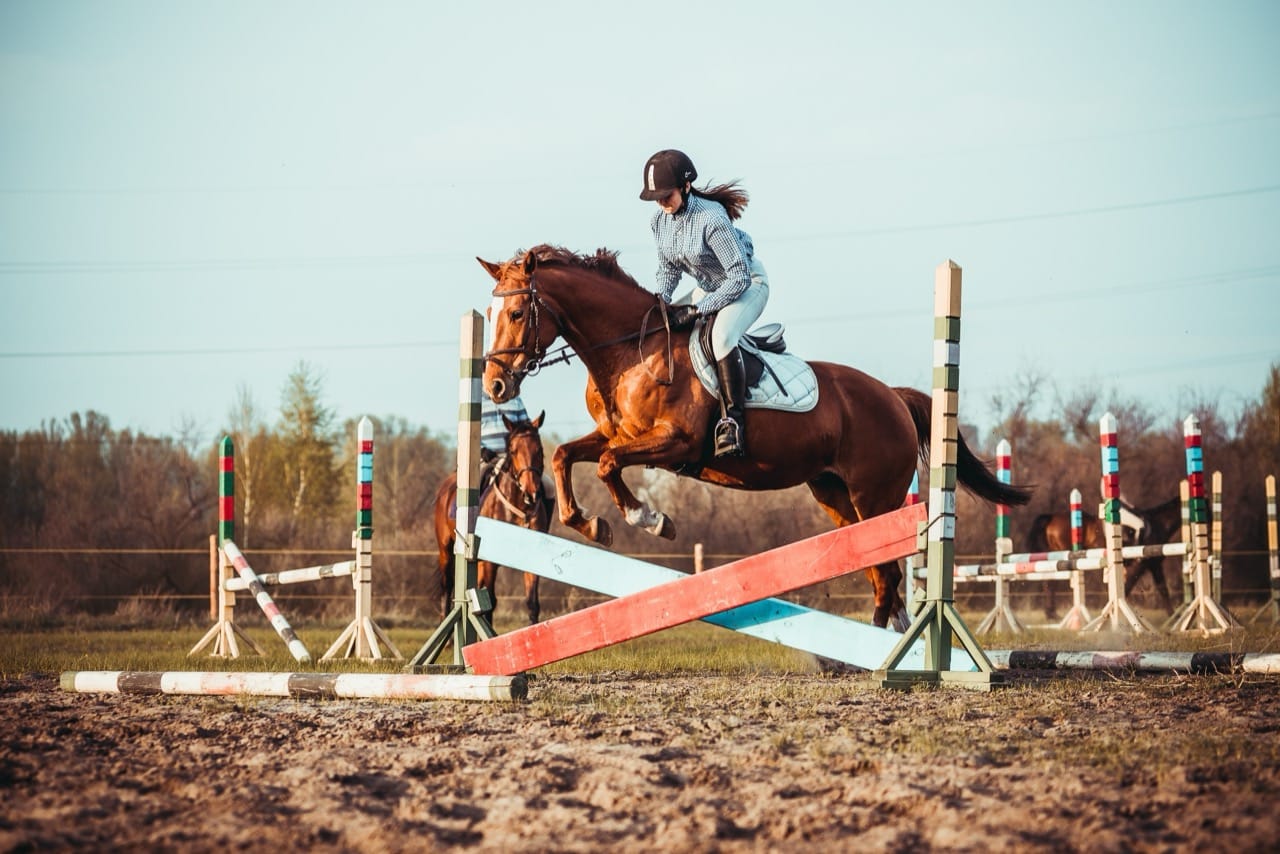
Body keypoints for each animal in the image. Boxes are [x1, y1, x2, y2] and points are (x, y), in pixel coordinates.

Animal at [432, 412, 553, 625]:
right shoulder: (489, 562)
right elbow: (490, 602)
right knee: (446, 588)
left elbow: (532, 602)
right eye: (513, 451)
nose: (531, 494)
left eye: (539, 450)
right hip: (446, 549)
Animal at [477, 244, 1033, 629]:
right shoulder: (616, 433)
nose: (495, 385)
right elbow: (566, 456)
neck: (632, 352)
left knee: (889, 572)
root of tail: (894, 397)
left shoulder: (675, 442)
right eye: (489, 315)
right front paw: (591, 525)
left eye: (518, 314)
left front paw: (650, 520)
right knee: (880, 570)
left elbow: (610, 464)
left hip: (874, 497)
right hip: (834, 495)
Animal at [1027, 497, 1182, 619]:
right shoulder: (1143, 564)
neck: (1159, 524)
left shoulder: (1154, 564)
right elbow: (1132, 586)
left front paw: (1174, 616)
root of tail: (1051, 517)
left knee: (1048, 579)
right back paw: (1051, 613)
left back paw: (1051, 613)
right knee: (1050, 581)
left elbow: (1162, 588)